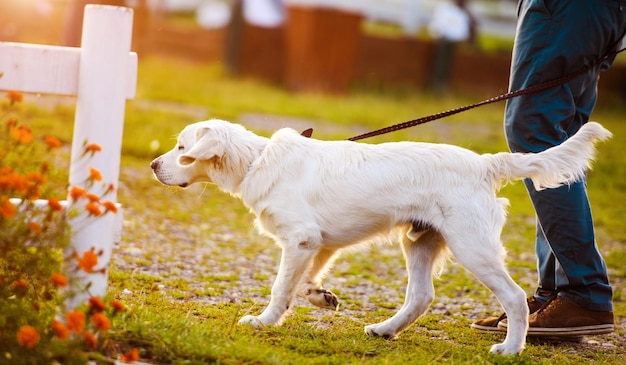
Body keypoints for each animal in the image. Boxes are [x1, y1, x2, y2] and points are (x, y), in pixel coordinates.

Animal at [150, 119, 608, 352]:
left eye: (181, 148)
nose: (154, 165)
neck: (256, 160)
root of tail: (484, 164)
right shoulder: (318, 243)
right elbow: (303, 284)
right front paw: (321, 297)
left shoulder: (299, 240)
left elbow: (281, 288)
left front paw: (263, 321)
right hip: (419, 241)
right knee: (421, 296)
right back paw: (386, 330)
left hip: (472, 247)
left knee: (512, 297)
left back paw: (510, 348)